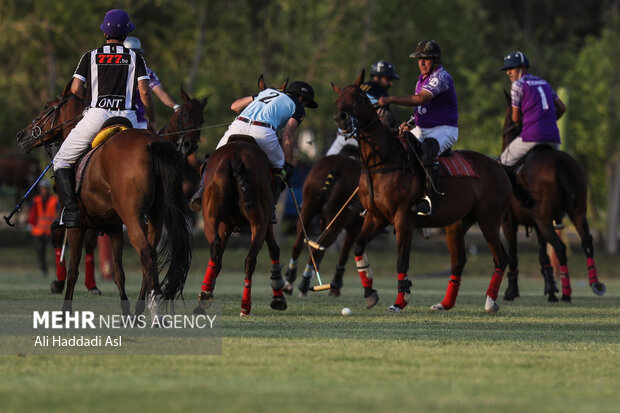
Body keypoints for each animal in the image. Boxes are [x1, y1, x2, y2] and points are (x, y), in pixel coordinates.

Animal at [16, 81, 191, 316]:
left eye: (46, 106)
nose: (21, 136)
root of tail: (152, 145)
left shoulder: (77, 226)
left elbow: (73, 270)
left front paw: (64, 311)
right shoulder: (114, 228)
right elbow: (118, 273)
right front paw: (125, 313)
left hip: (132, 216)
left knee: (146, 254)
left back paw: (151, 311)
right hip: (156, 214)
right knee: (151, 257)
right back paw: (140, 311)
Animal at [282, 150, 364, 298]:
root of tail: (338, 166)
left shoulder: (322, 221)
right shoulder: (355, 227)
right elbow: (344, 254)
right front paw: (335, 288)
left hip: (307, 209)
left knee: (299, 245)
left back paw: (290, 283)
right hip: (336, 222)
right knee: (316, 250)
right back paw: (305, 285)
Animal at [334, 72, 512, 314]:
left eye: (358, 96)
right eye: (337, 99)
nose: (341, 118)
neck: (382, 160)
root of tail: (499, 166)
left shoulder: (403, 218)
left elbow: (402, 260)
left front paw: (400, 301)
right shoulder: (376, 216)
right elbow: (358, 247)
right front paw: (370, 294)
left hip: (489, 219)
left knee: (501, 258)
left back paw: (490, 302)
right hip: (457, 223)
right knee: (459, 262)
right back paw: (445, 304)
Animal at [498, 93, 604, 300]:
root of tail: (560, 162)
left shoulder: (509, 222)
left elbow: (514, 256)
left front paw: (511, 292)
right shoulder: (535, 225)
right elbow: (543, 256)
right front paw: (550, 288)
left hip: (544, 220)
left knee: (560, 247)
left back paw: (567, 292)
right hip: (577, 212)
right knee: (587, 241)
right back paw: (595, 284)